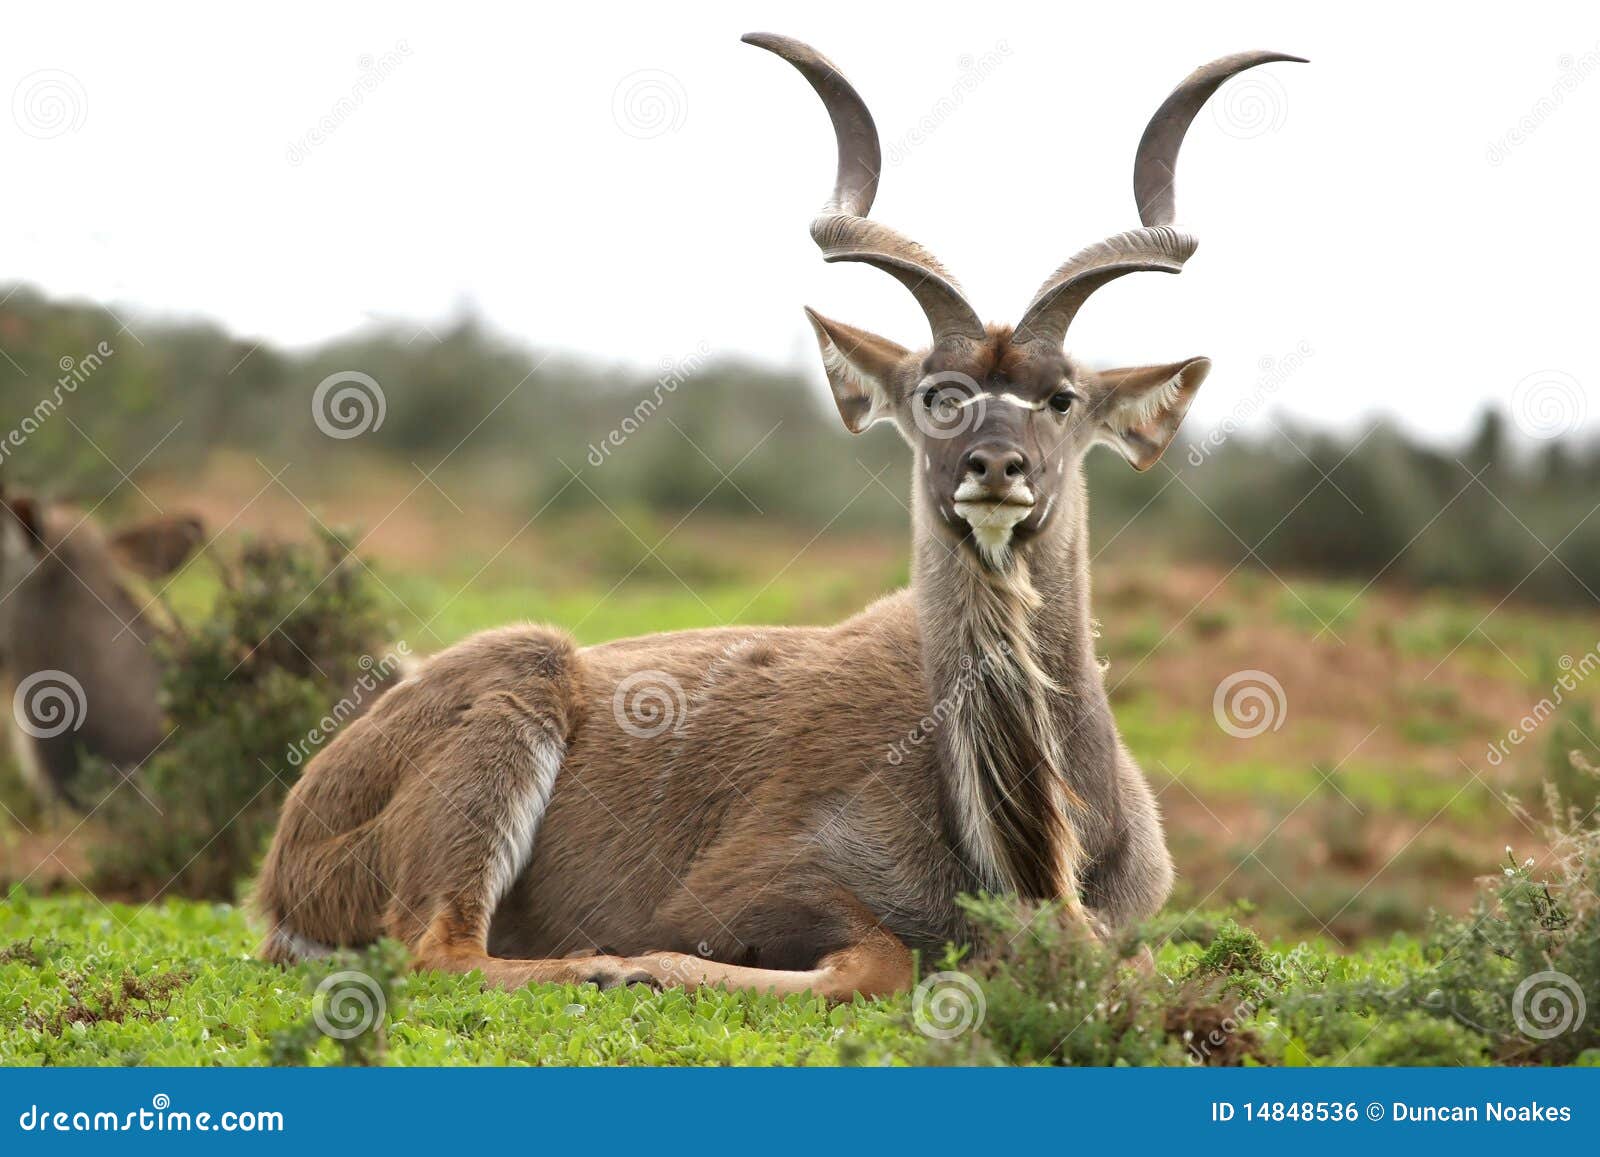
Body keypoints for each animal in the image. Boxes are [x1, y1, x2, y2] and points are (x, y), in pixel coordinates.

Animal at [255, 34, 1303, 998]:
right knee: (440, 949)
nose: (994, 468)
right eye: (936, 393)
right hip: (520, 680)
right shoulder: (749, 888)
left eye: (1063, 398)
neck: (1030, 863)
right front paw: (643, 963)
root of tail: (280, 872)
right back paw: (604, 965)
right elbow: (872, 960)